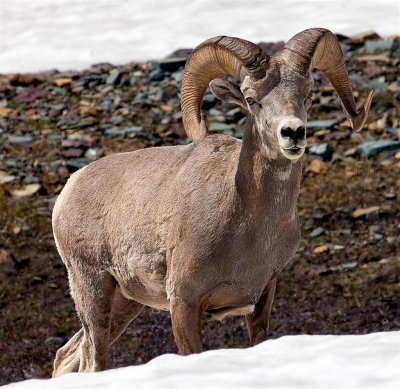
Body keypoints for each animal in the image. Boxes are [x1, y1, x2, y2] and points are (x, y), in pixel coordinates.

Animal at [51, 28, 374, 376]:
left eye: (309, 95)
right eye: (251, 100)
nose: (292, 133)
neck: (247, 228)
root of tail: (70, 189)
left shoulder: (262, 299)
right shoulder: (183, 304)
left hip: (125, 302)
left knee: (68, 355)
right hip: (92, 290)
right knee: (93, 358)